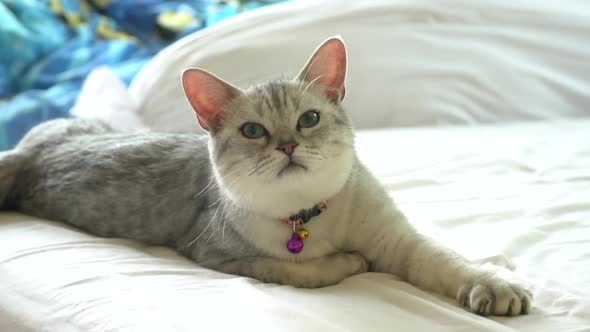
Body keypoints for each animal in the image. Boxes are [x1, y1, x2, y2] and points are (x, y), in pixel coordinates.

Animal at [0, 36, 536, 316]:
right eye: (253, 130)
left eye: (309, 119)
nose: (287, 144)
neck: (311, 216)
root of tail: (28, 149)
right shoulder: (220, 253)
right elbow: (304, 270)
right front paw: (347, 262)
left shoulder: (397, 240)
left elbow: (446, 261)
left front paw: (495, 285)